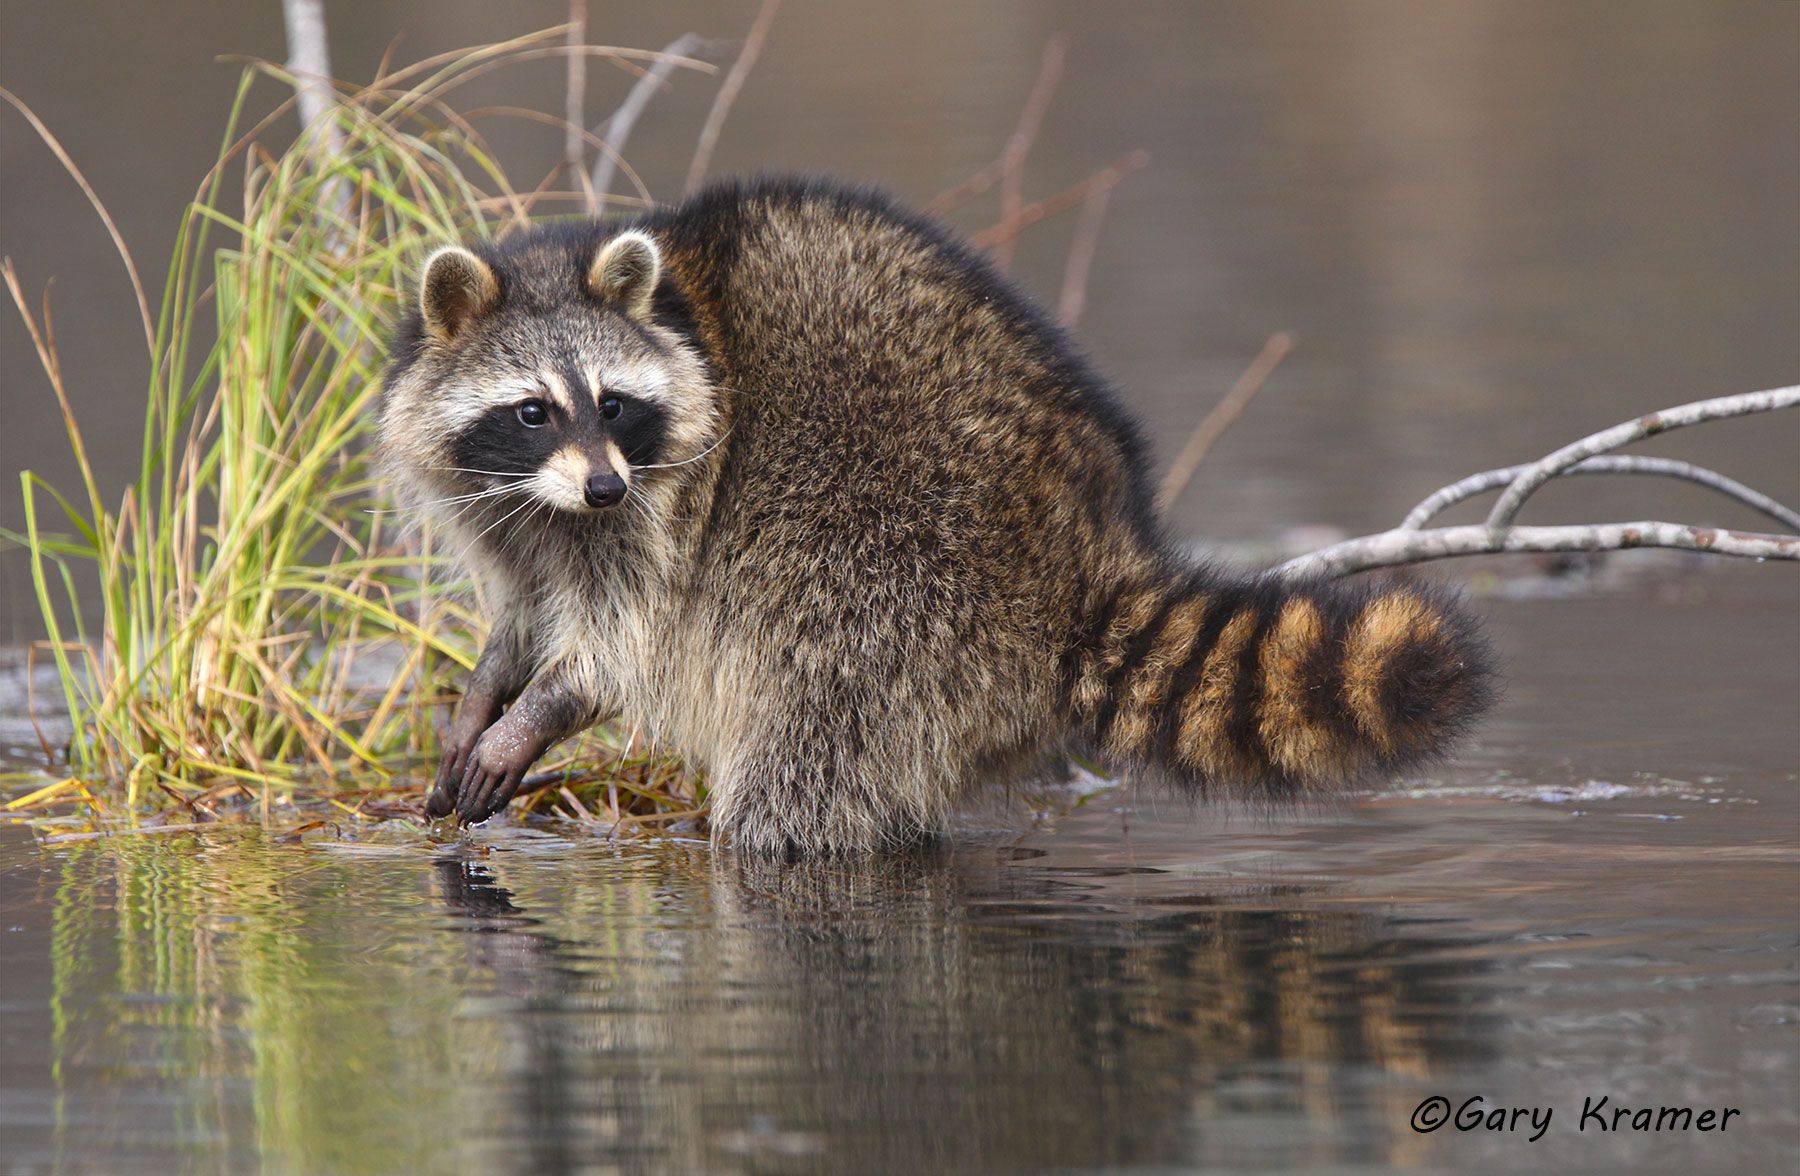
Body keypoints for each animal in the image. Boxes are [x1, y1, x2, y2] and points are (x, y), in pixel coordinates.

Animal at [379, 176, 1494, 857]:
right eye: (533, 410)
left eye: (612, 404)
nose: (604, 488)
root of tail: (1085, 544)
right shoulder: (511, 511)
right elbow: (525, 612)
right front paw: (484, 700)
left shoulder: (666, 511)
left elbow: (619, 648)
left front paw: (534, 716)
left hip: (892, 573)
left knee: (805, 752)